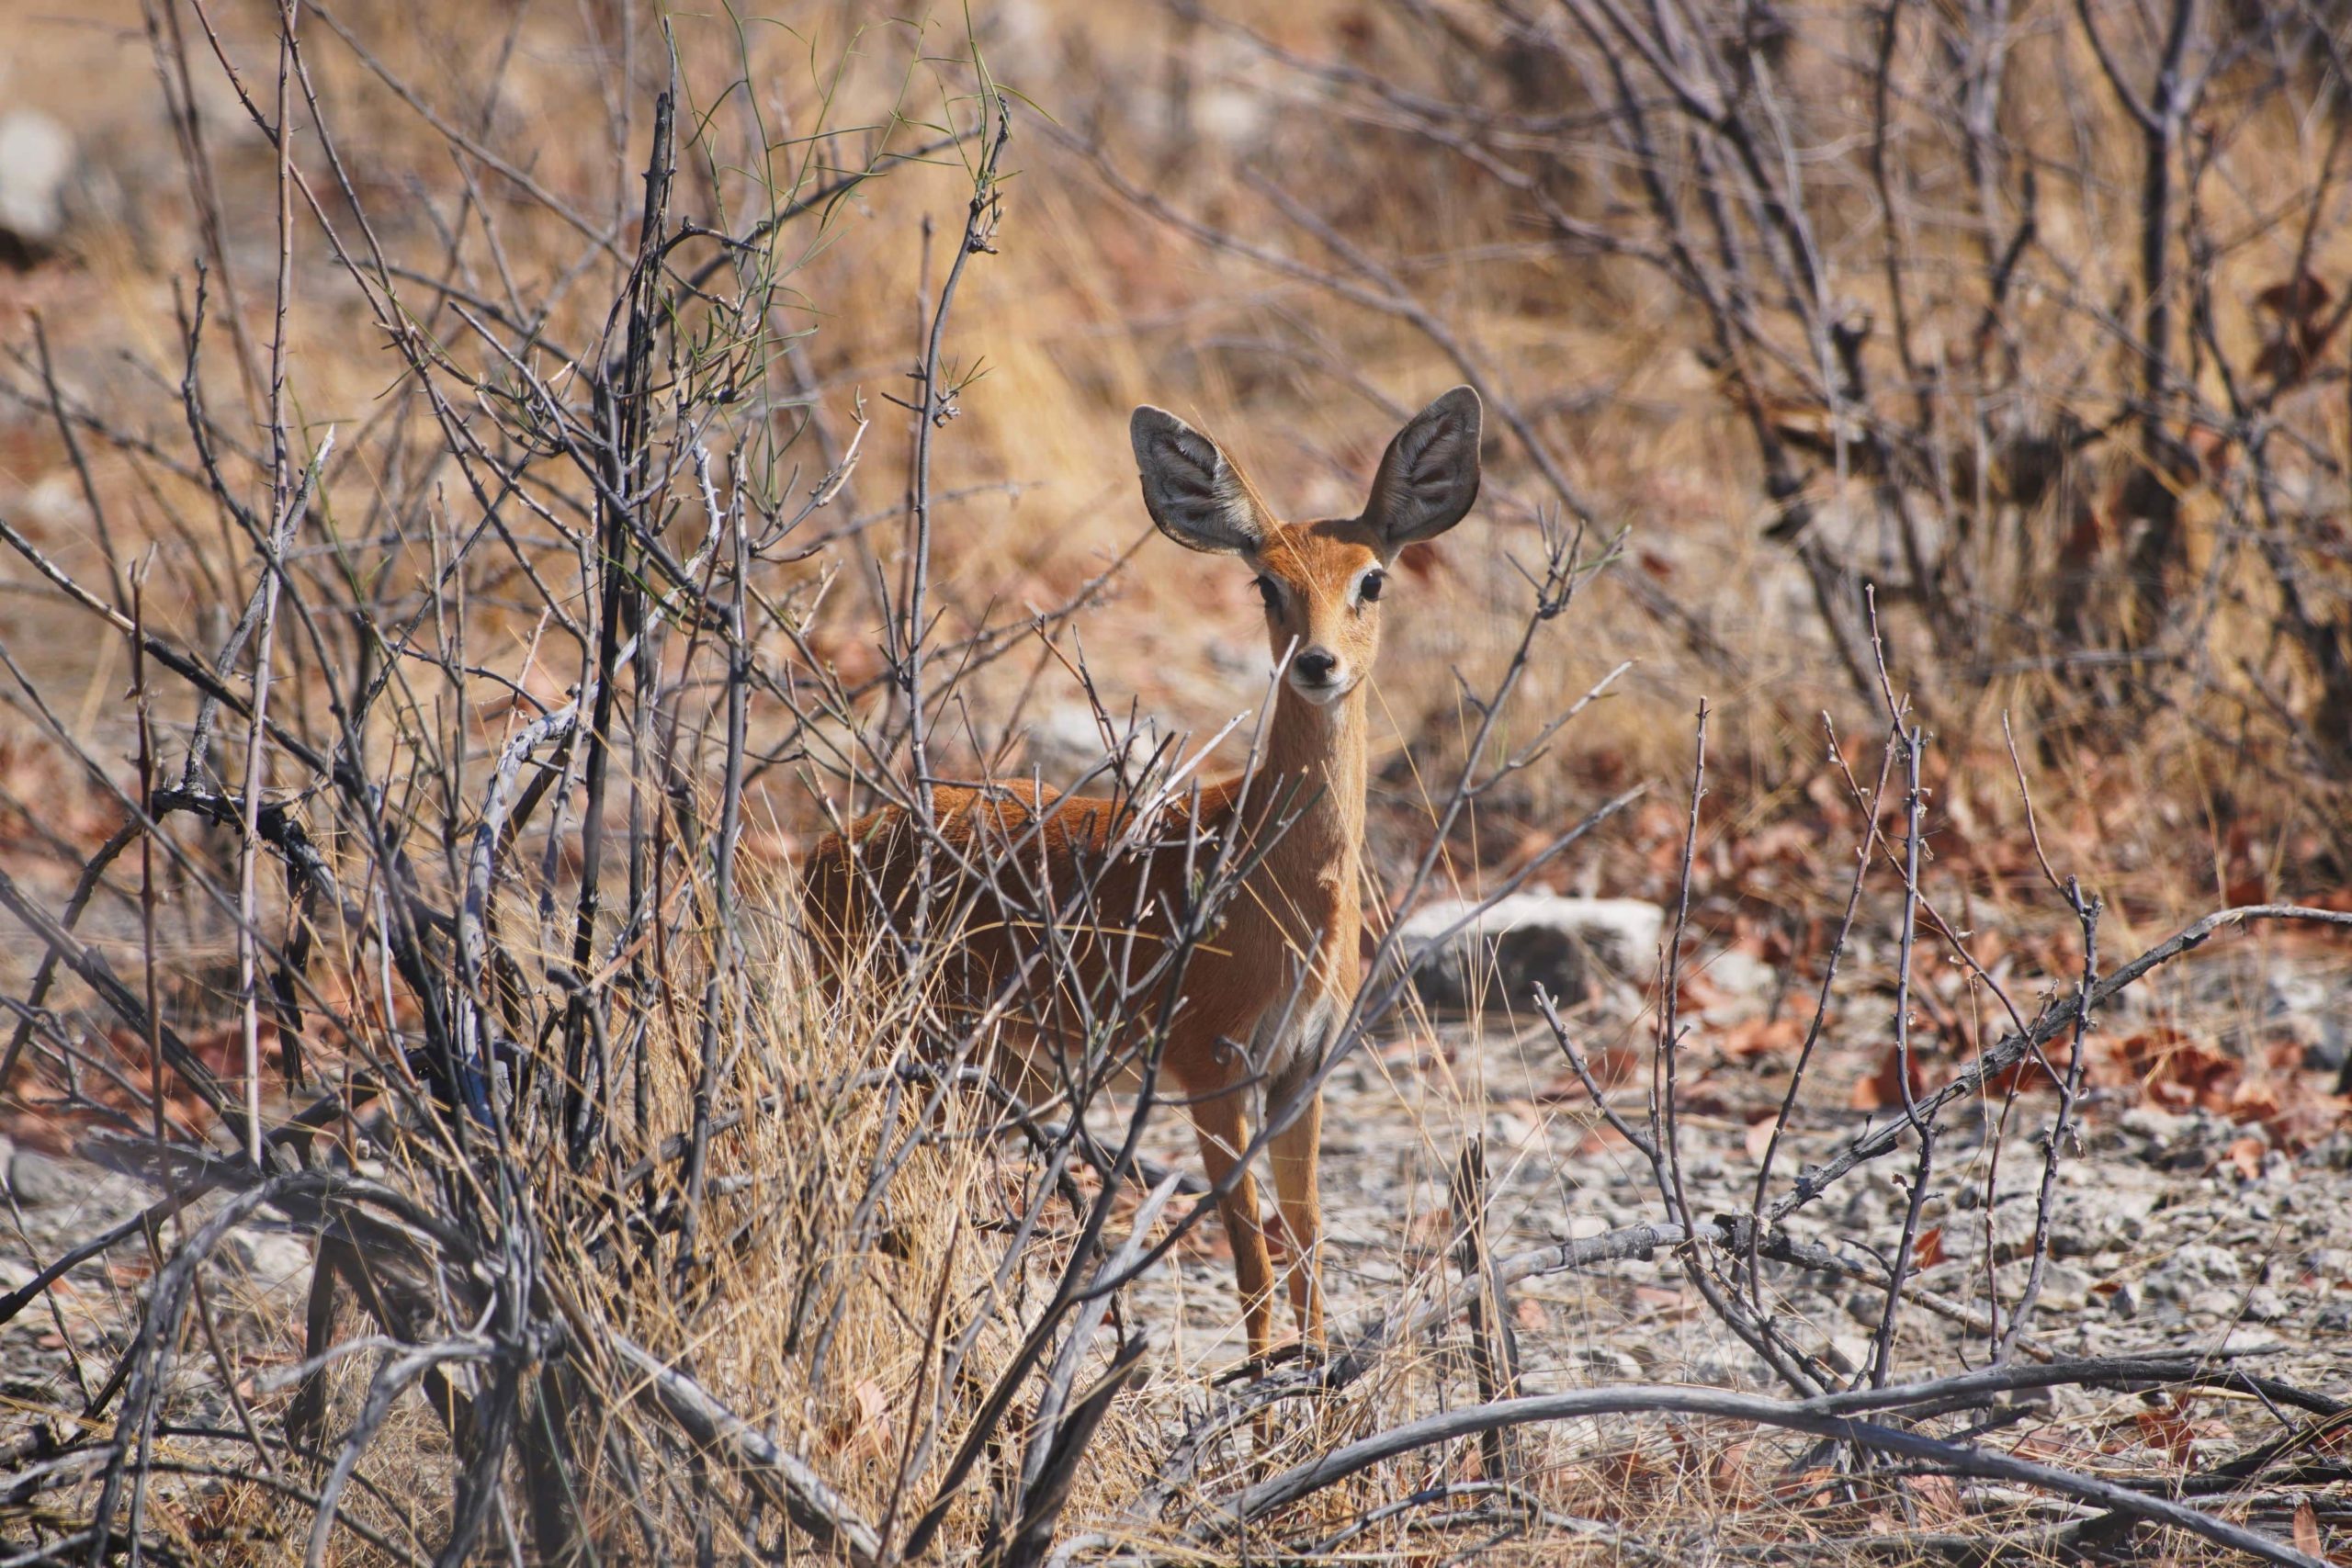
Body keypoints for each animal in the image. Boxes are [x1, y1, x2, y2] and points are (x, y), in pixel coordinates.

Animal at [799, 385, 1476, 1354]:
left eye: (1371, 577)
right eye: (1266, 581)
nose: (1318, 663)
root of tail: (825, 852)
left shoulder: (1300, 1069)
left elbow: (1308, 1239)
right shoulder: (1208, 1064)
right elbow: (1252, 1259)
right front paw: (1264, 1388)